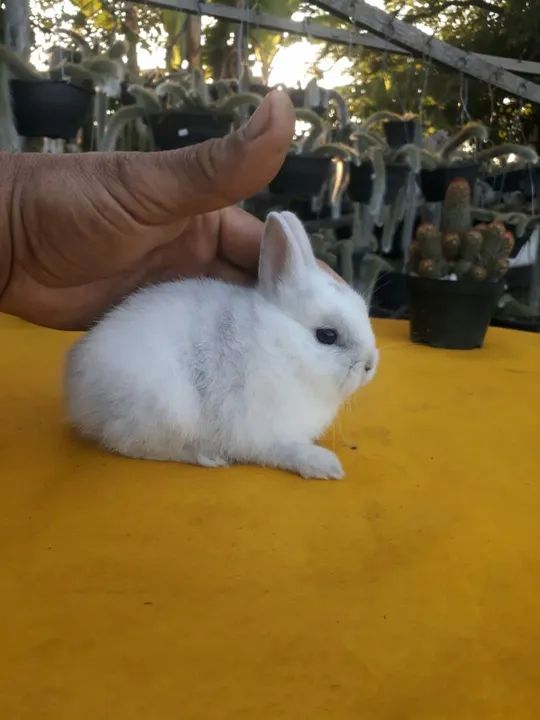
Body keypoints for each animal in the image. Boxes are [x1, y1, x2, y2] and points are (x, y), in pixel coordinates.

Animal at [64, 211, 378, 480]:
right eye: (327, 336)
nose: (370, 365)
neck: (281, 349)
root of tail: (76, 387)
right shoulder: (265, 430)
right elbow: (287, 449)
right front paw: (326, 466)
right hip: (165, 407)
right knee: (134, 444)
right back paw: (208, 456)